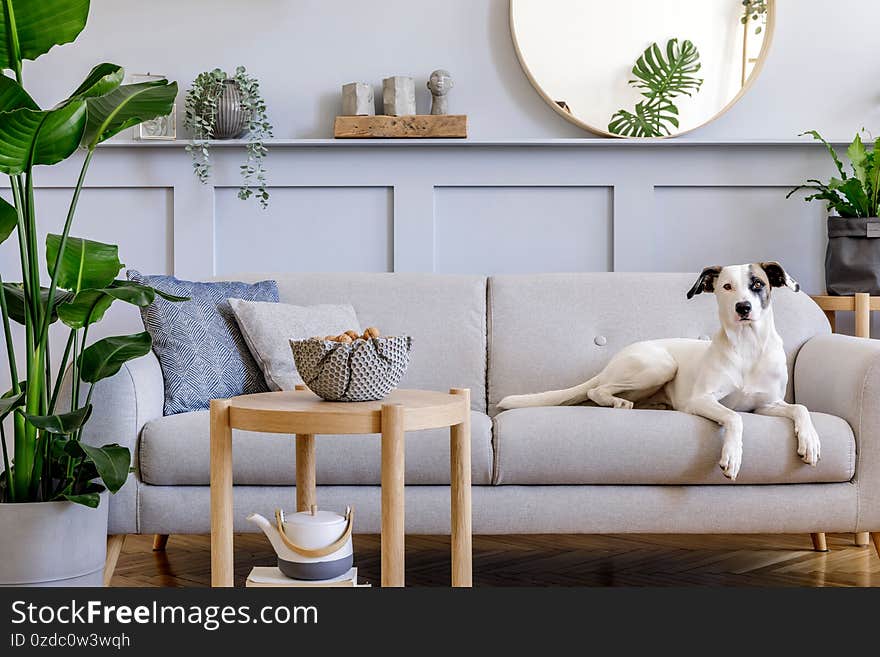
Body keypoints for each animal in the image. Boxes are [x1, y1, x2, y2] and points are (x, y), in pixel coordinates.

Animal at [498, 262, 820, 482]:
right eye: (726, 286)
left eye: (758, 284)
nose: (743, 307)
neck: (747, 346)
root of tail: (612, 361)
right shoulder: (701, 400)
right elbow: (734, 417)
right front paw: (732, 455)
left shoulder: (766, 405)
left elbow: (800, 407)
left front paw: (810, 441)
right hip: (660, 365)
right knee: (596, 389)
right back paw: (617, 401)